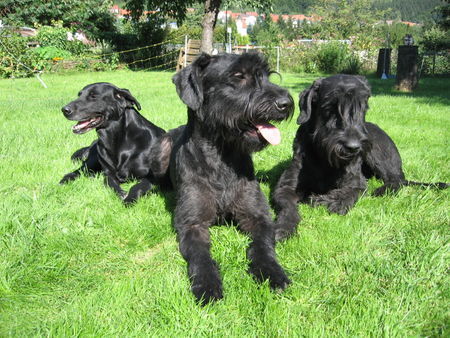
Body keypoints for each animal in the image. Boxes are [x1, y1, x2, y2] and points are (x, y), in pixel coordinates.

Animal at [272, 74, 448, 240]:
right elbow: (288, 206)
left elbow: (351, 192)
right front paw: (284, 227)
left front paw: (331, 200)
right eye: (330, 107)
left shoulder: (356, 182)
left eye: (364, 107)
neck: (323, 158)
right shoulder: (286, 186)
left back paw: (383, 189)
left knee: (397, 180)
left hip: (378, 154)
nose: (353, 147)